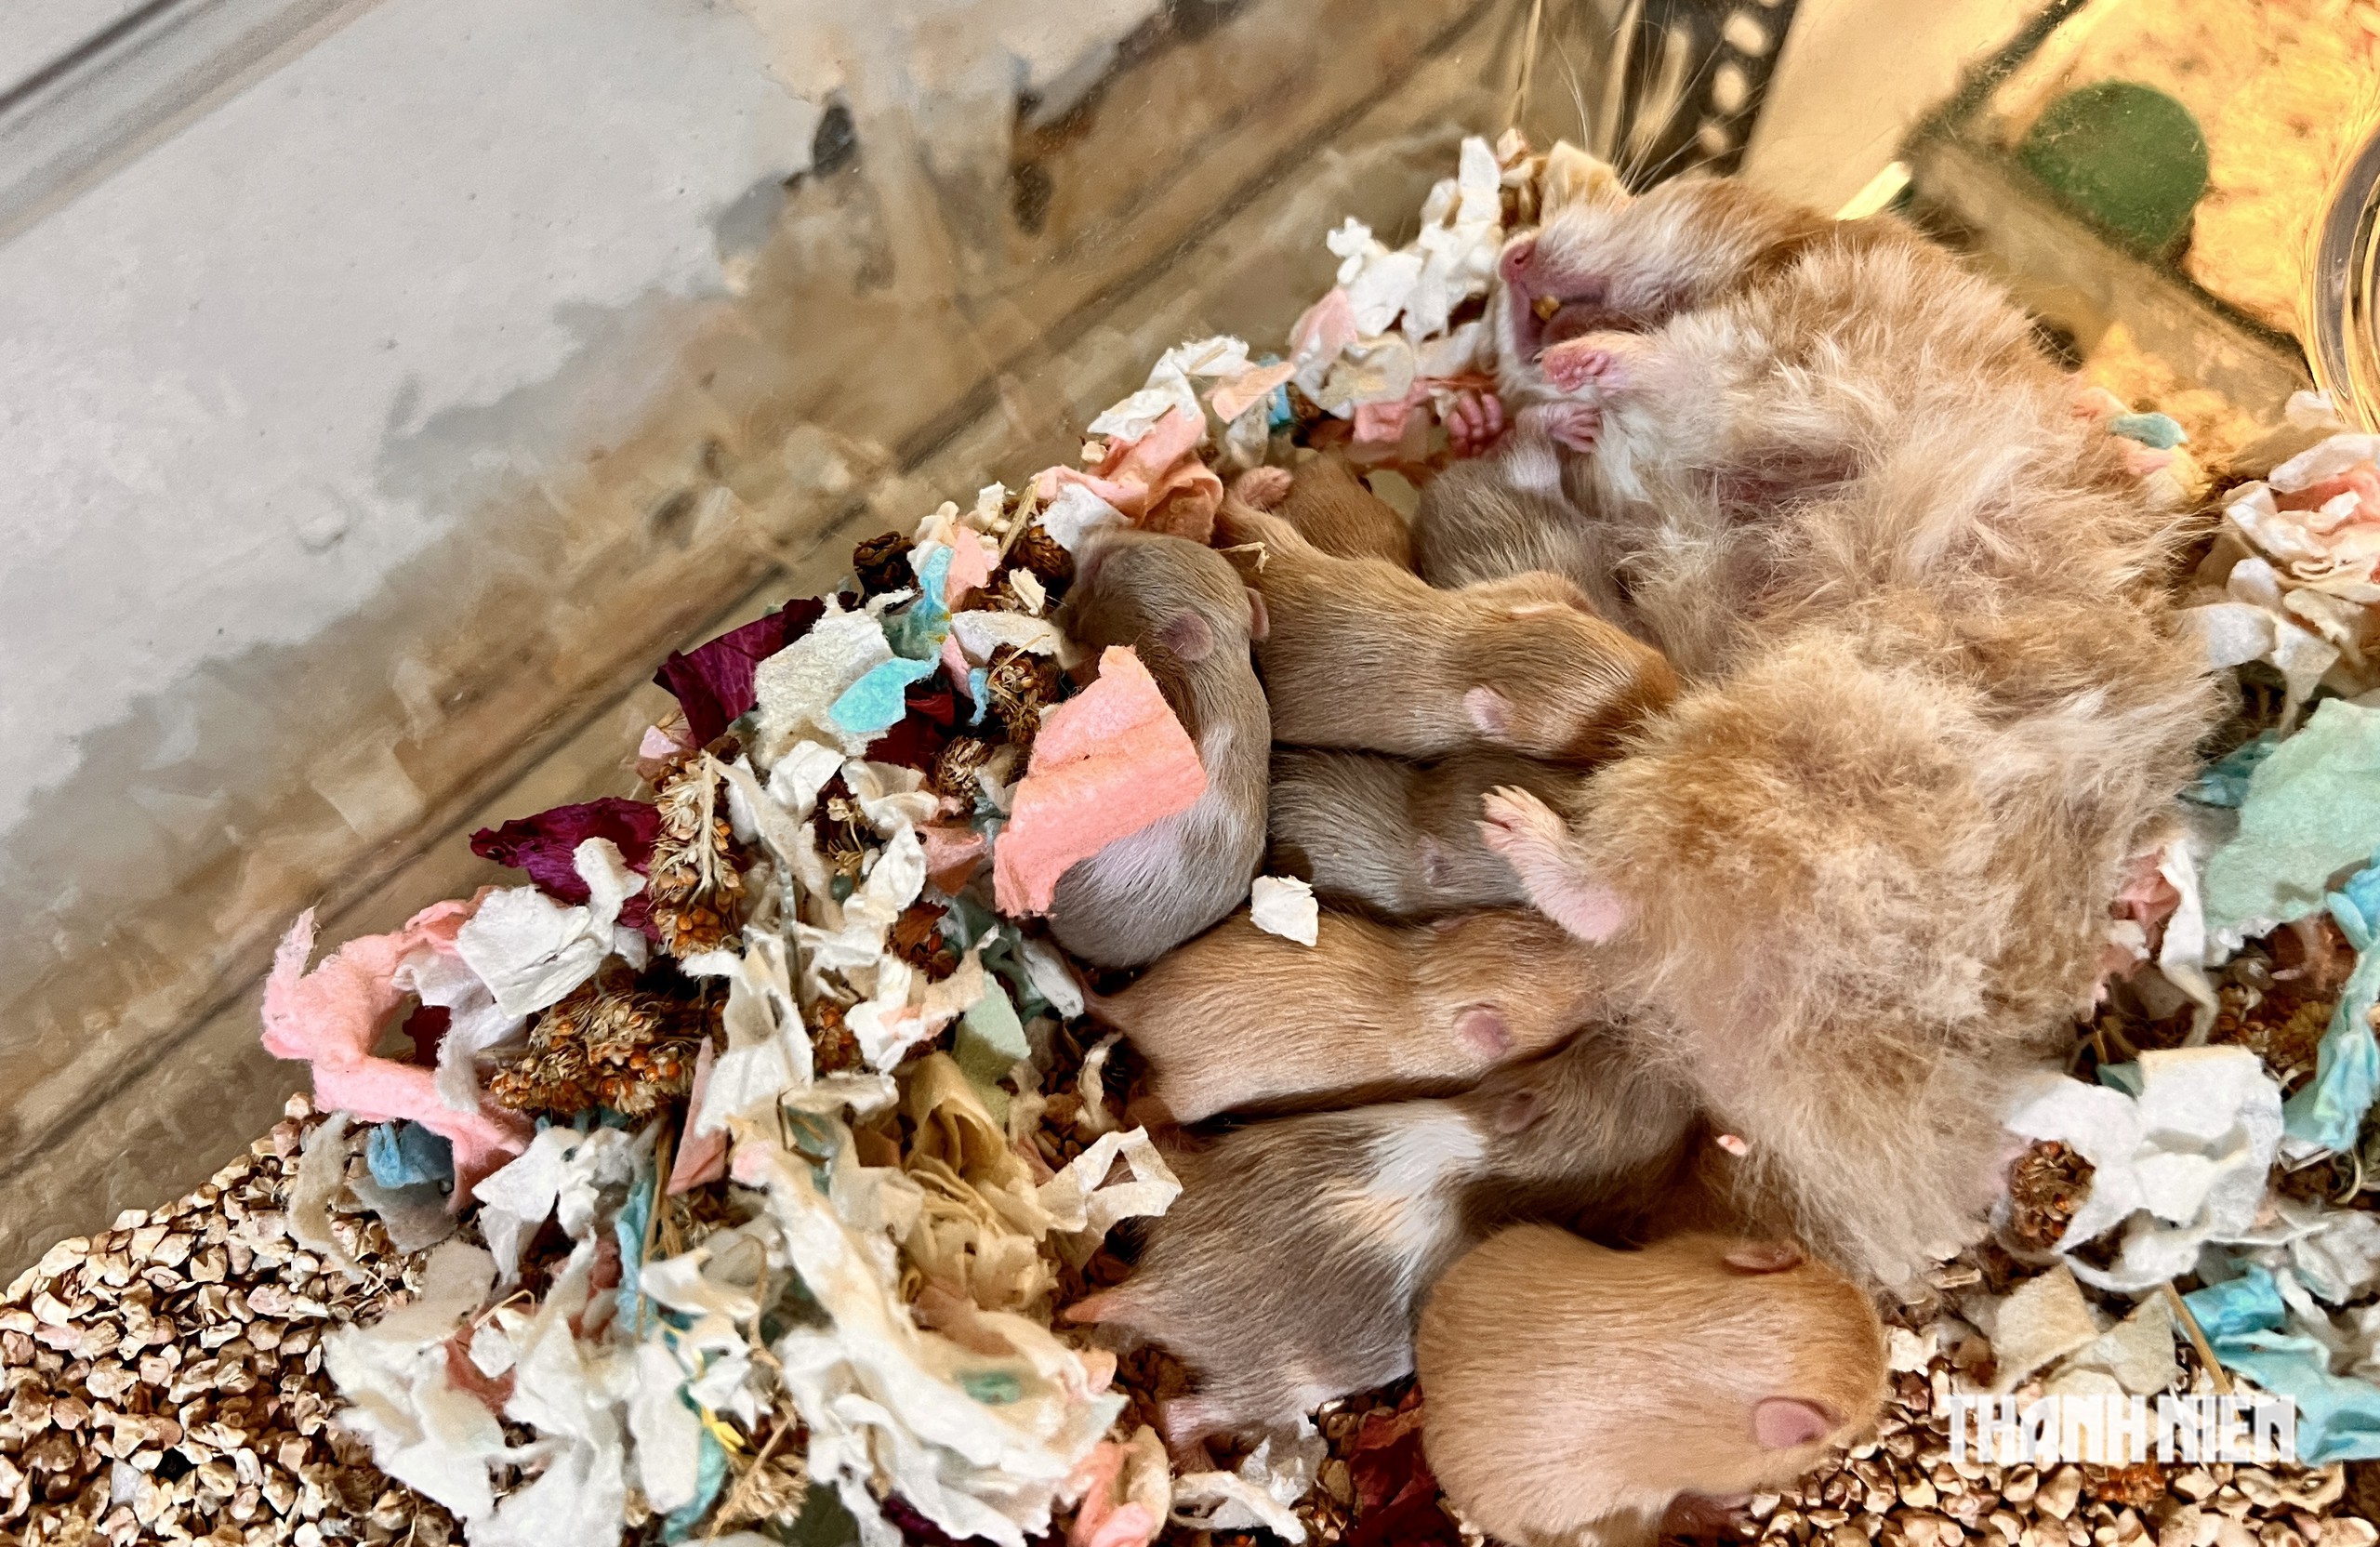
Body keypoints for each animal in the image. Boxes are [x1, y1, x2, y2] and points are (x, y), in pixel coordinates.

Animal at [1065, 1027, 1702, 1444]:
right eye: (1608, 1053)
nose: (1666, 1045)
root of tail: (1163, 1291)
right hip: (1268, 1387)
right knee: (1184, 1417)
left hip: (1181, 1179)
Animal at [1090, 907, 1601, 1123]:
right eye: (1576, 1005)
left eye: (1544, 924)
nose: (1600, 962)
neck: (1430, 986)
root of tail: (1131, 1008)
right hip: (1193, 1095)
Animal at [1215, 486, 1675, 766]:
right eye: (1605, 739)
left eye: (1646, 655)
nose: (1677, 696)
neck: (1481, 655)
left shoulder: (1511, 595)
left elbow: (1560, 586)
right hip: (1274, 545)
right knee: (1233, 511)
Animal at [1396, 174, 2219, 1287]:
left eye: (1663, 186)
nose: (1513, 254)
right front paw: (1510, 396)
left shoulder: (1806, 348)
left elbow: (1691, 367)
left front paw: (1578, 368)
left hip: (1752, 757)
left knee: (1613, 899)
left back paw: (1513, 820)